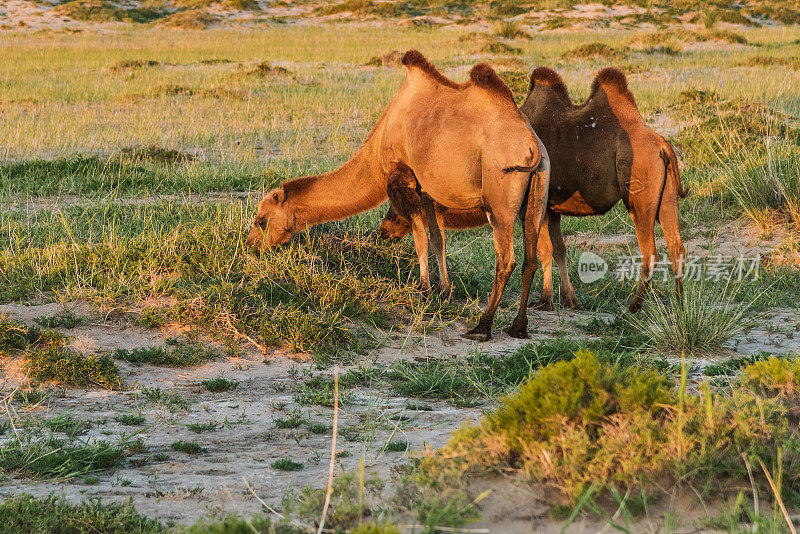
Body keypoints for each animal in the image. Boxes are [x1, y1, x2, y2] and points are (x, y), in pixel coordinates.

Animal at [247, 51, 552, 344]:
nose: (250, 246)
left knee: (506, 260)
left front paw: (424, 291)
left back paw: (482, 327)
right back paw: (518, 327)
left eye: (261, 220)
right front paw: (444, 291)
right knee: (531, 257)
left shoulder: (402, 178)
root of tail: (531, 144)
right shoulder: (428, 188)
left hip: (499, 195)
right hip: (539, 188)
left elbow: (420, 241)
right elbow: (438, 239)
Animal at [380, 66, 688, 314]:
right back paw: (679, 304)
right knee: (676, 246)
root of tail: (663, 146)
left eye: (396, 204)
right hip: (667, 199)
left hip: (640, 199)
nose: (384, 229)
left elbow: (543, 250)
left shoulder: (532, 206)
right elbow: (559, 249)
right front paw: (569, 300)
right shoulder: (552, 209)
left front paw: (547, 300)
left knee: (650, 252)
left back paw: (632, 309)